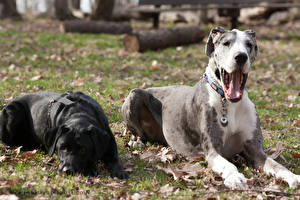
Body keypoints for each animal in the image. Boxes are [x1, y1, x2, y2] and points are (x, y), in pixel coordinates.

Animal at [122, 27, 300, 189]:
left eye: (249, 44)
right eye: (226, 43)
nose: (241, 57)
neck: (228, 103)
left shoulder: (255, 149)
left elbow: (276, 164)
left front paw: (292, 177)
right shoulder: (212, 150)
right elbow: (228, 164)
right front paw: (235, 177)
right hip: (134, 94)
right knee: (139, 134)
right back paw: (137, 143)